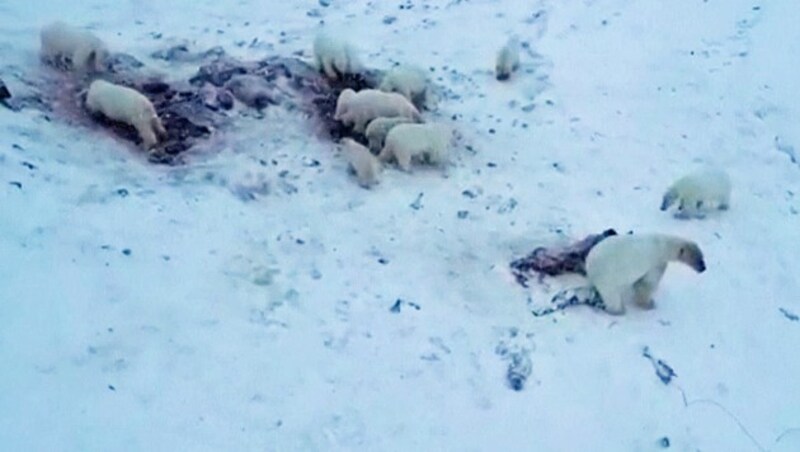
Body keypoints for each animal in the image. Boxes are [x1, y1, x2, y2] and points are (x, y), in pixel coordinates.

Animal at [580, 233, 708, 314]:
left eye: (702, 256)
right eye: (699, 259)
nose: (703, 268)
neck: (662, 245)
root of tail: (589, 266)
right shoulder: (655, 262)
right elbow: (647, 284)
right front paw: (649, 304)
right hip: (607, 278)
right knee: (612, 296)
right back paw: (616, 310)